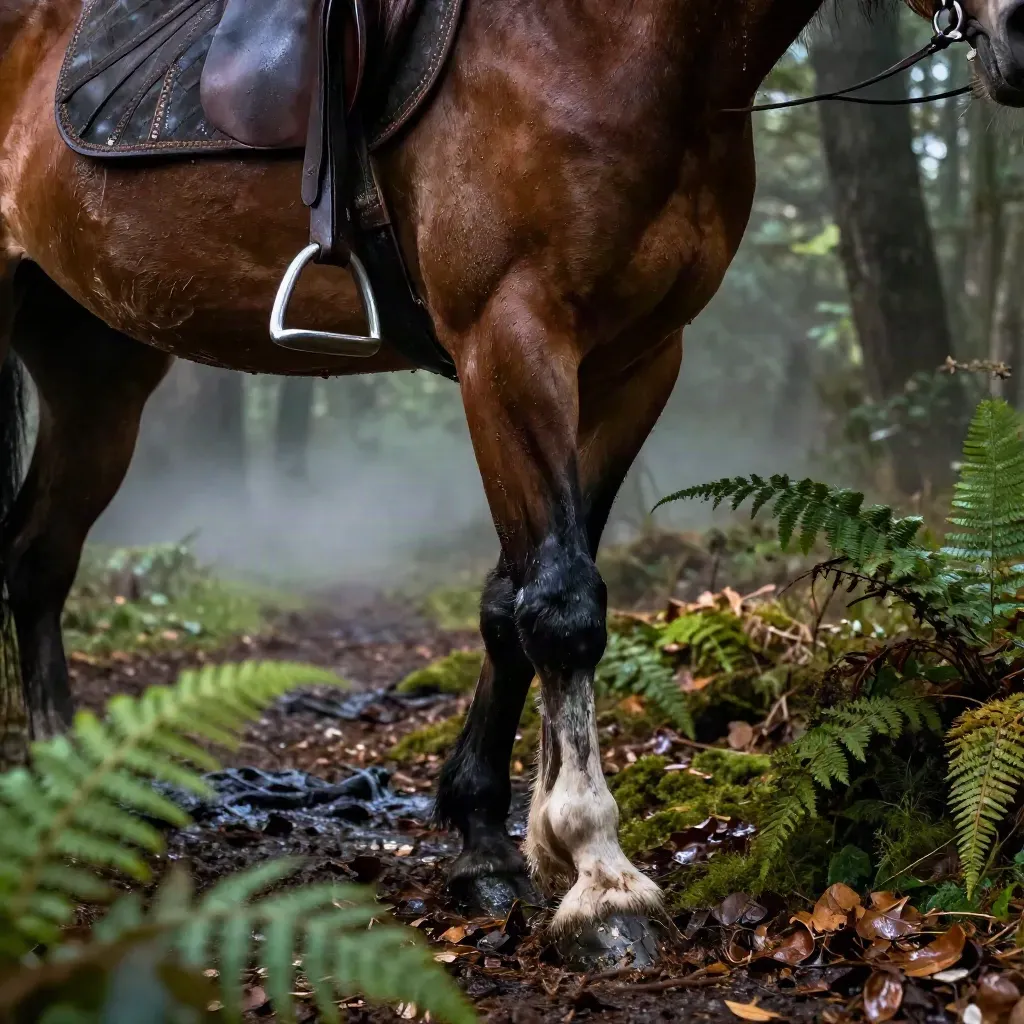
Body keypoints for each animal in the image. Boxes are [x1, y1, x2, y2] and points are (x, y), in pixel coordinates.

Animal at [0, 0, 1017, 956]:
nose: (1019, 37)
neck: (610, 43)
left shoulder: (637, 362)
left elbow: (508, 602)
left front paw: (492, 841)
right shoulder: (511, 335)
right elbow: (560, 605)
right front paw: (601, 878)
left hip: (96, 367)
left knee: (39, 557)